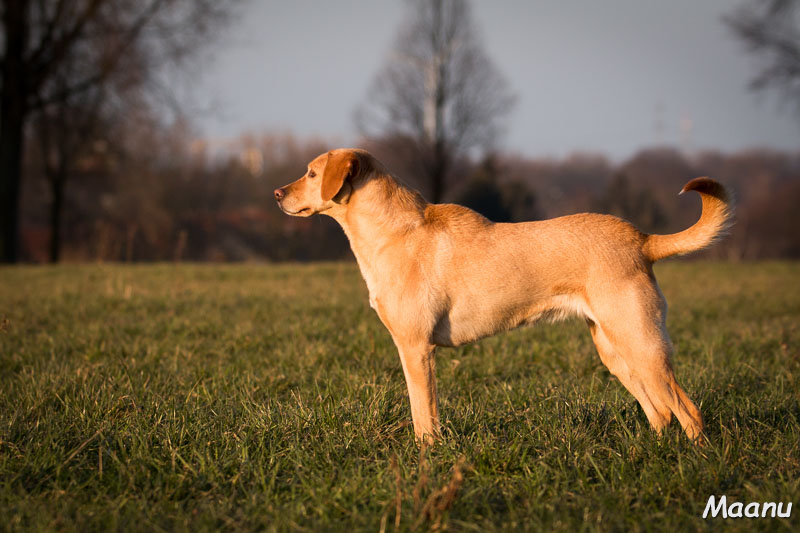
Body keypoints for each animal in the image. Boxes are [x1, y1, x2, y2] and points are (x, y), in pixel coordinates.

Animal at [276, 148, 732, 442]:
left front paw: (427, 459)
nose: (277, 194)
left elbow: (424, 416)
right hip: (616, 351)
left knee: (688, 412)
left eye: (312, 174)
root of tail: (642, 239)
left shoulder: (416, 348)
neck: (393, 232)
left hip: (643, 346)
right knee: (661, 414)